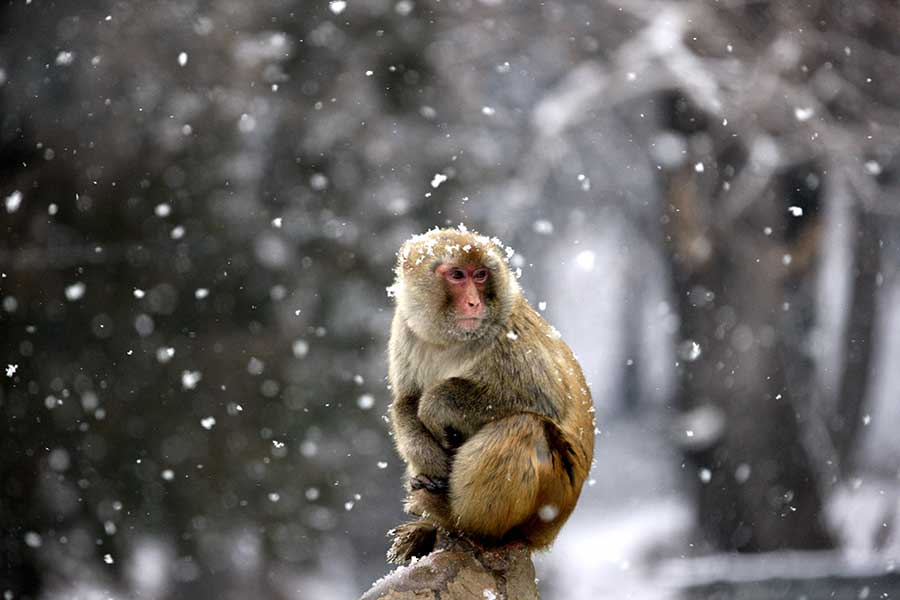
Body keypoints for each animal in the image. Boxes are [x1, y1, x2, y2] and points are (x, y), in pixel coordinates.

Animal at [384, 225, 596, 564]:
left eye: (481, 275)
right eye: (457, 275)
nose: (474, 303)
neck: (451, 340)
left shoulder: (510, 335)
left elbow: (544, 400)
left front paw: (435, 405)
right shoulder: (404, 328)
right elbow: (405, 401)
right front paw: (428, 456)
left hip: (550, 500)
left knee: (525, 426)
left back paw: (461, 522)